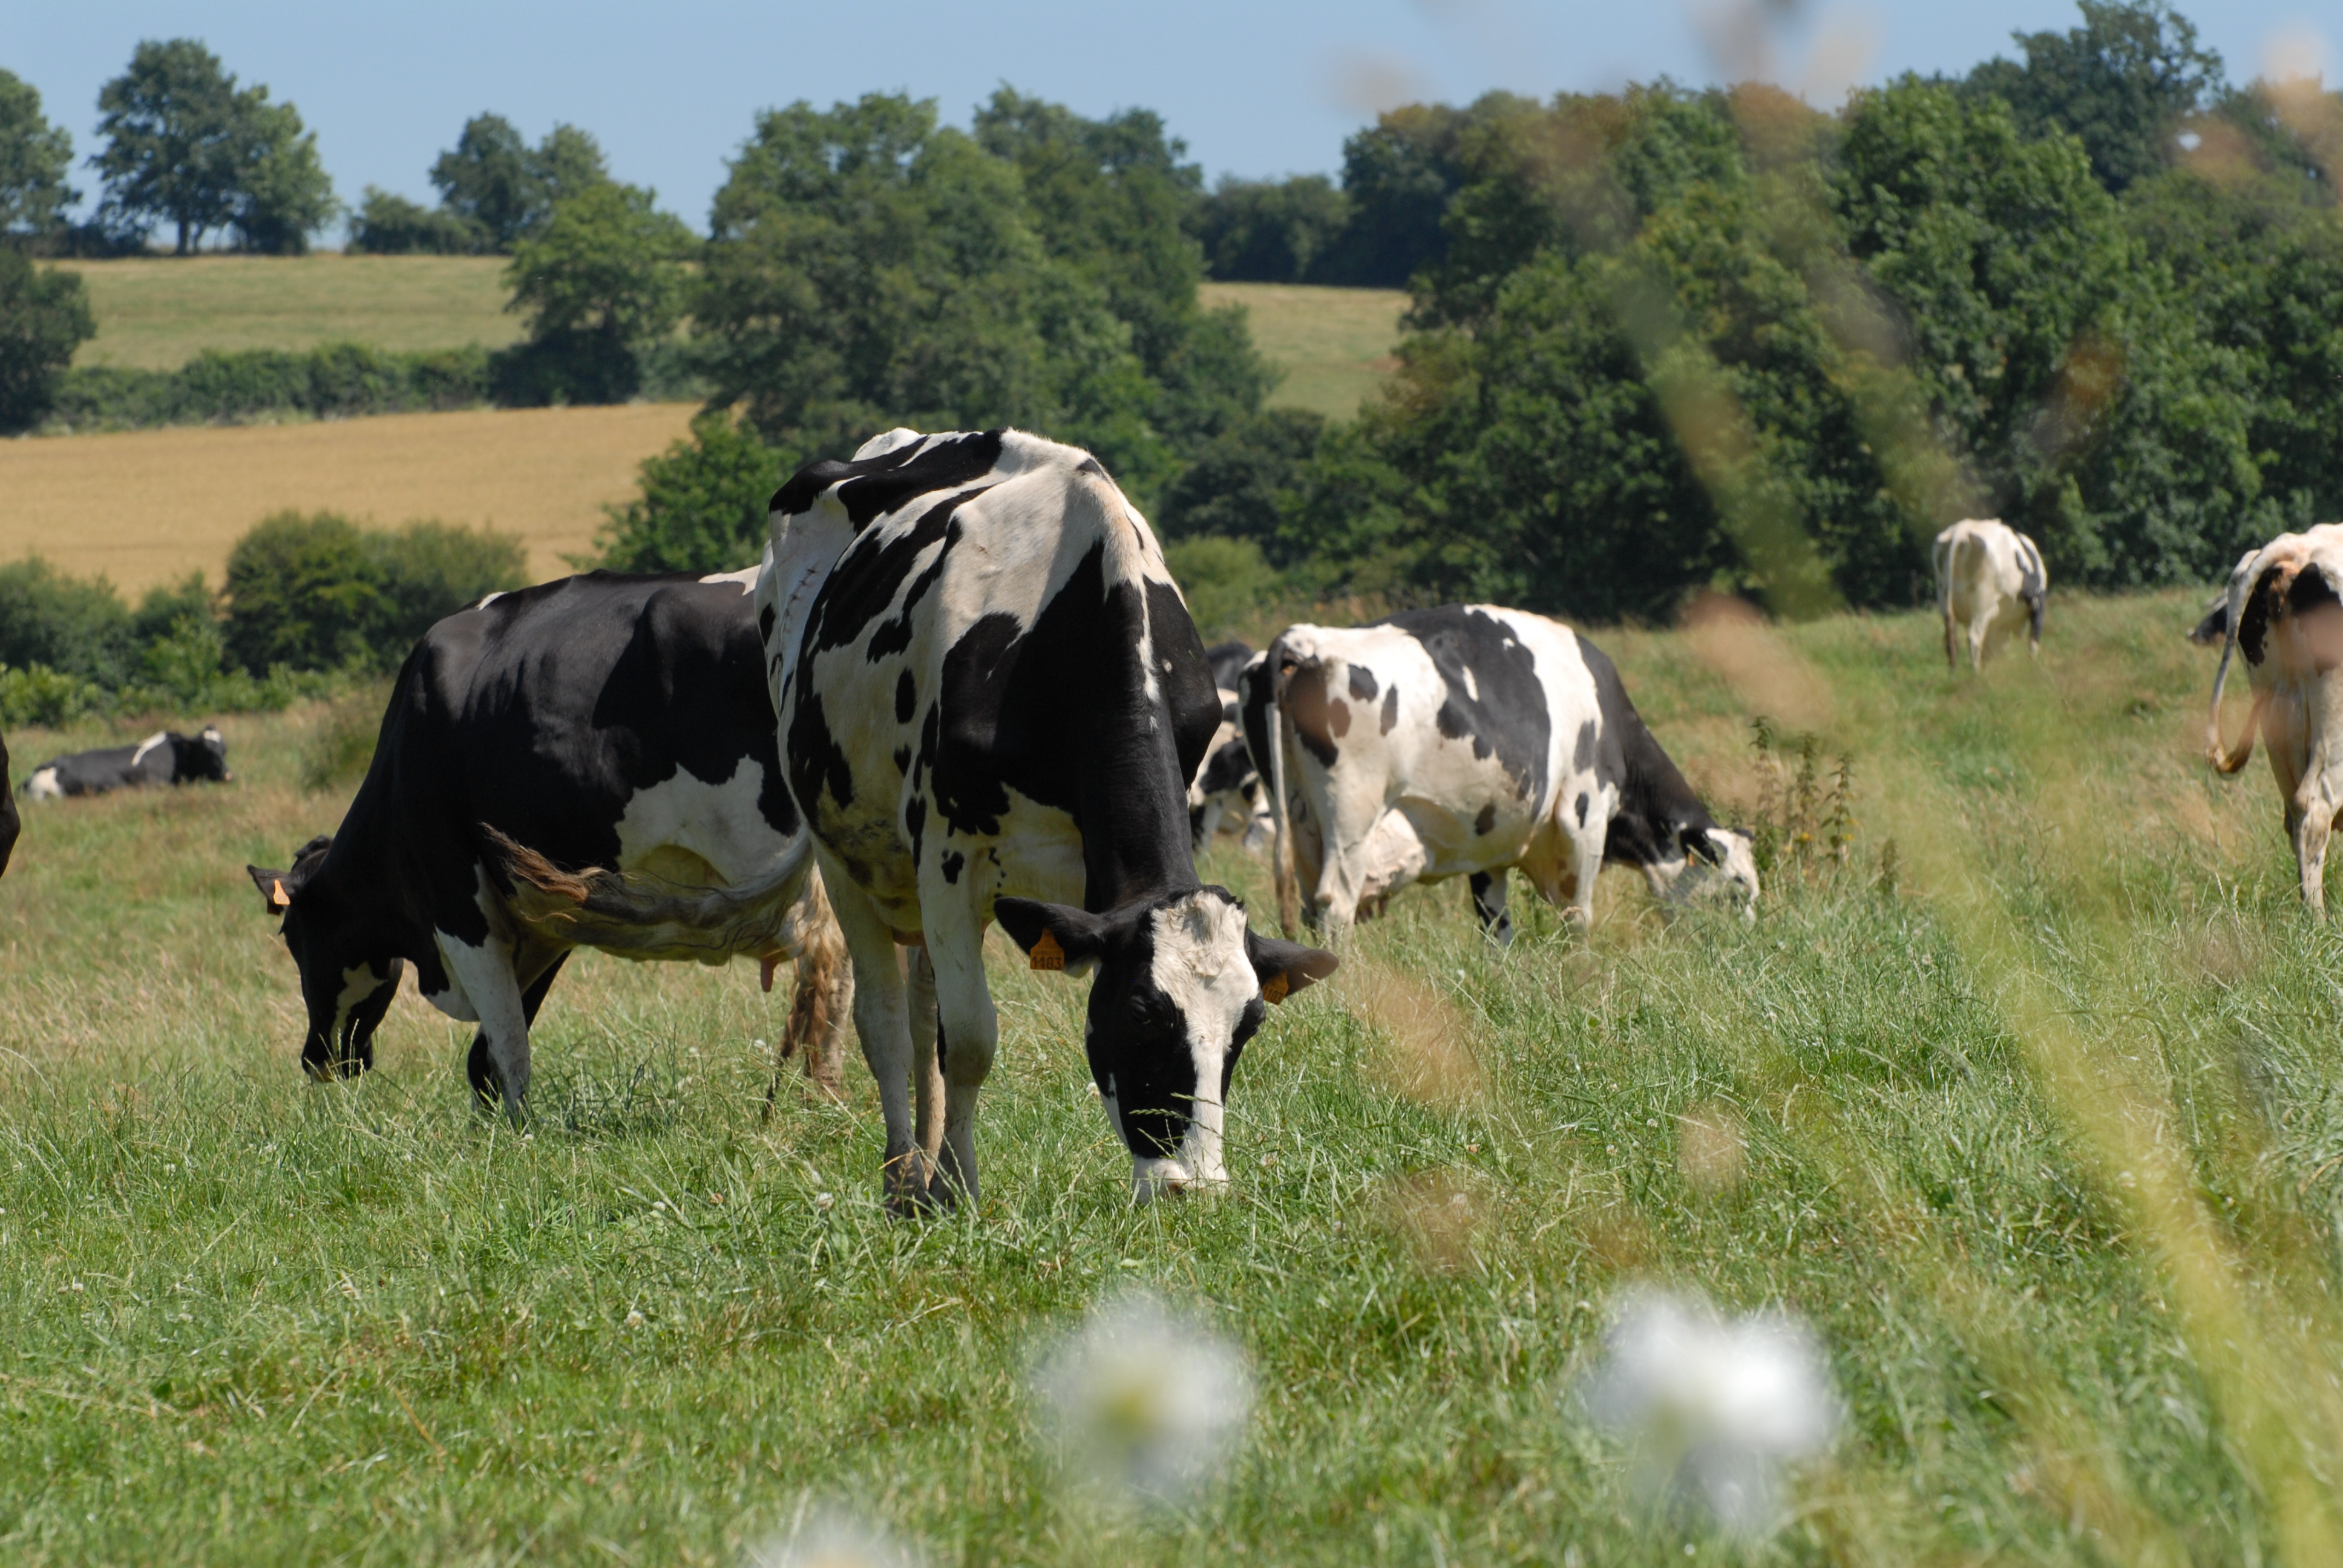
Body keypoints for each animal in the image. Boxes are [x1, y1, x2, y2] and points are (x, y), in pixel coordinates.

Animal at [246, 568, 852, 1115]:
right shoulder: (545, 919)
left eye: (293, 938)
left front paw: (517, 1137)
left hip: (764, 849)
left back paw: (813, 1103)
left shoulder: (460, 906)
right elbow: (487, 1055)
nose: (315, 1058)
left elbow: (507, 1048)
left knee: (826, 956)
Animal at [735, 426, 1336, 1211]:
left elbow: (948, 1033)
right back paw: (905, 1179)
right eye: (1140, 1013)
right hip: (846, 855)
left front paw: (948, 1179)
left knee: (920, 1008)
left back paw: (923, 1162)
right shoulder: (948, 863)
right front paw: (958, 1190)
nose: (1193, 1191)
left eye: (1250, 1024)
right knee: (885, 1021)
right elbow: (967, 1040)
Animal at [1243, 606, 1758, 946]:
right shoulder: (1583, 812)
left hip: (1299, 820)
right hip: (1352, 814)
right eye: (1738, 889)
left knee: (1309, 906)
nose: (1749, 947)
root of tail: (1303, 642)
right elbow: (1578, 913)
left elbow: (1495, 923)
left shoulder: (1488, 839)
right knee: (1336, 905)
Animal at [1932, 519, 2047, 670]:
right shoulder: (2038, 603)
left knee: (1951, 641)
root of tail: (1962, 530)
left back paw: (1954, 674)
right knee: (1974, 638)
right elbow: (2034, 641)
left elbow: (1989, 650)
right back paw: (1976, 673)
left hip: (1945, 601)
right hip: (1982, 603)